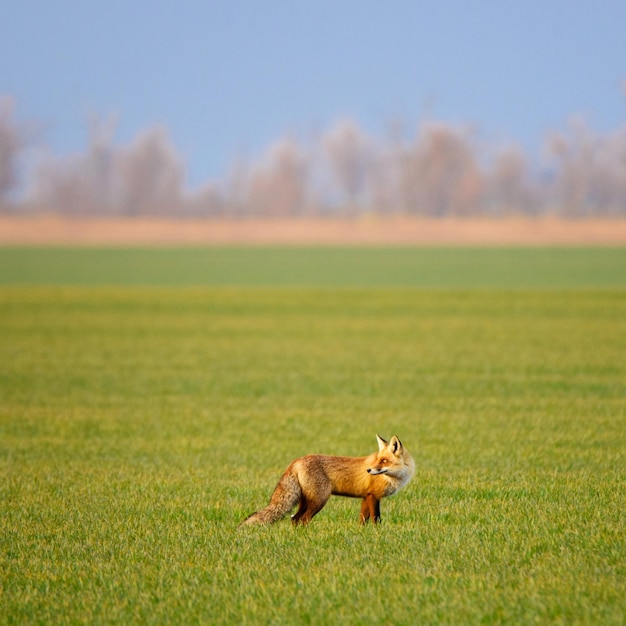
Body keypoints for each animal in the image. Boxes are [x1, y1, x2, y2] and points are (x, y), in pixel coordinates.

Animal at [241, 432, 412, 524]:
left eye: (383, 461)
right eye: (378, 460)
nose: (369, 470)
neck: (392, 478)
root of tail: (296, 461)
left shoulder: (366, 497)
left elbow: (363, 520)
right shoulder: (373, 496)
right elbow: (376, 519)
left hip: (306, 500)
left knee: (295, 519)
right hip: (319, 499)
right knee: (303, 519)